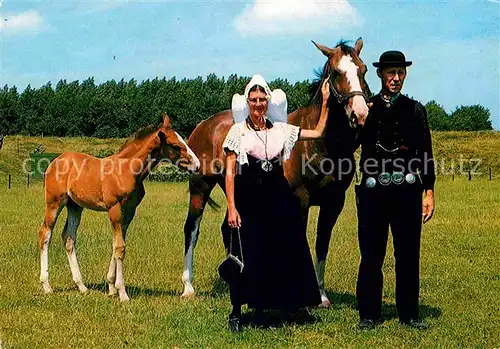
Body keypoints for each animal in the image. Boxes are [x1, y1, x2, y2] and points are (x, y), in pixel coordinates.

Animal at [39, 113, 199, 300]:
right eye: (175, 145)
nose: (197, 165)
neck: (127, 170)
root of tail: (55, 161)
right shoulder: (114, 208)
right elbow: (120, 247)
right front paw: (122, 293)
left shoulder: (129, 211)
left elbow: (117, 244)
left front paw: (111, 287)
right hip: (54, 203)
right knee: (45, 233)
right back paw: (47, 285)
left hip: (75, 206)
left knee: (69, 237)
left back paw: (82, 286)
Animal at [182, 38, 370, 304]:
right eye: (335, 72)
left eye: (363, 70)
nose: (360, 114)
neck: (321, 144)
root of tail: (203, 125)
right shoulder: (300, 199)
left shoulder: (334, 203)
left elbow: (321, 244)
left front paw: (322, 296)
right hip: (200, 186)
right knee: (191, 229)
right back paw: (188, 287)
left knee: (228, 228)